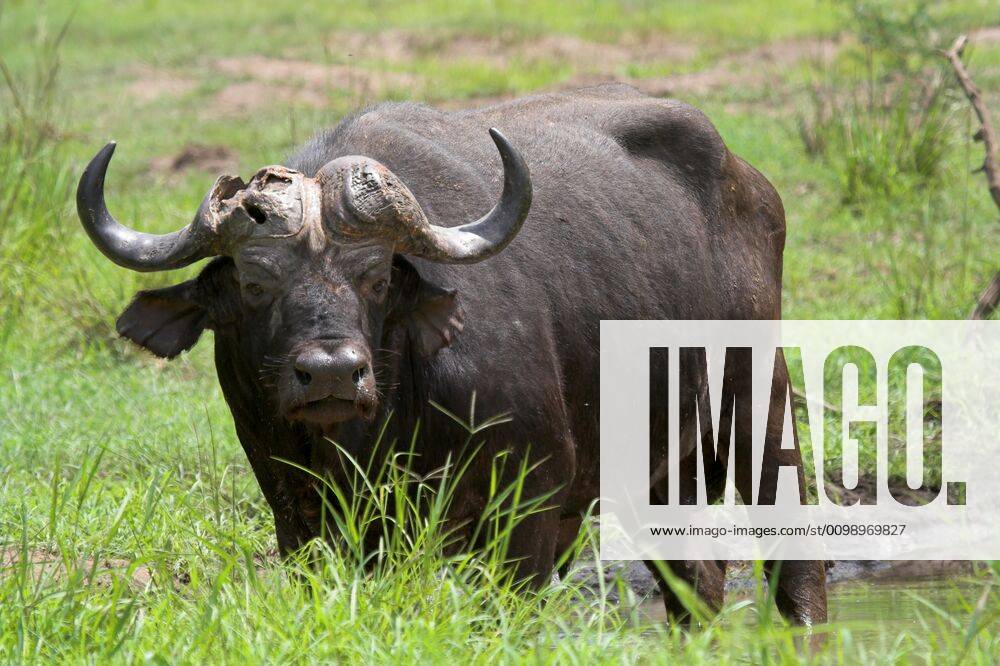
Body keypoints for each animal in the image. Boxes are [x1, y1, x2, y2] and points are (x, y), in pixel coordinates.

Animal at [77, 83, 827, 624]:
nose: (332, 374)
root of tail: (749, 184)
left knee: (789, 539)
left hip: (757, 394)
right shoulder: (297, 508)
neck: (379, 429)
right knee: (696, 578)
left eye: (377, 277)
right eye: (255, 282)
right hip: (660, 457)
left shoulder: (530, 500)